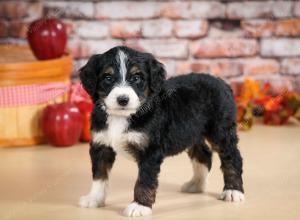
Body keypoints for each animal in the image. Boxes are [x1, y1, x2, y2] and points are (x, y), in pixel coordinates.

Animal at [78, 46, 244, 217]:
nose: (123, 99)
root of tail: (223, 83)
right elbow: (99, 176)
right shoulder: (101, 145)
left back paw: (233, 191)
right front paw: (94, 198)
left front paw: (140, 205)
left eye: (136, 77)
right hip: (192, 132)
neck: (121, 116)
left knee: (232, 157)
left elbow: (144, 180)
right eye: (108, 78)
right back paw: (196, 184)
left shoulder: (150, 150)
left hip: (221, 131)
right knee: (204, 154)